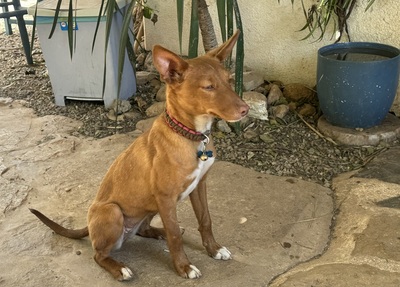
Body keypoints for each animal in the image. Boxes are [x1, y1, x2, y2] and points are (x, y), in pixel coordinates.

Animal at [31, 30, 248, 282]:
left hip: (150, 207)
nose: (246, 110)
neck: (191, 136)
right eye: (209, 87)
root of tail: (89, 226)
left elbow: (205, 220)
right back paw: (119, 268)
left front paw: (213, 249)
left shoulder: (199, 185)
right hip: (113, 211)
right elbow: (175, 236)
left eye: (230, 81)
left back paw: (157, 231)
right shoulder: (166, 197)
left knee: (144, 229)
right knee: (98, 254)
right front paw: (183, 266)